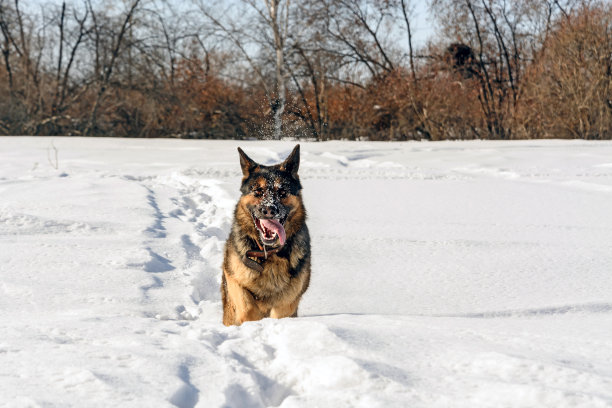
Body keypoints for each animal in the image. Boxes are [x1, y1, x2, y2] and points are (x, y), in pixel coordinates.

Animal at [220, 145, 310, 326]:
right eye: (258, 191)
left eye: (282, 192)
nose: (268, 209)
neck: (268, 253)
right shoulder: (234, 280)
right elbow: (248, 308)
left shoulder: (288, 300)